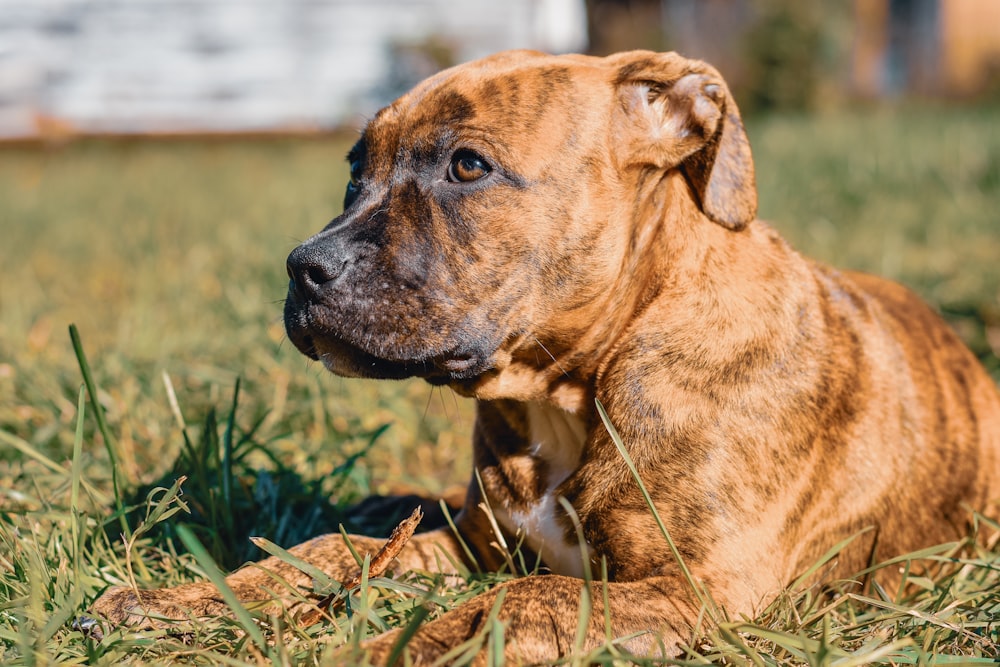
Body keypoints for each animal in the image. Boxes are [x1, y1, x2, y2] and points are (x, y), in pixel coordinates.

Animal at [88, 51, 1000, 664]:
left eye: (468, 165)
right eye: (354, 171)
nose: (303, 267)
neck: (569, 391)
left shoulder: (696, 591)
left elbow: (525, 599)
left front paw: (372, 649)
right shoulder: (469, 541)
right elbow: (330, 547)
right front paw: (186, 599)